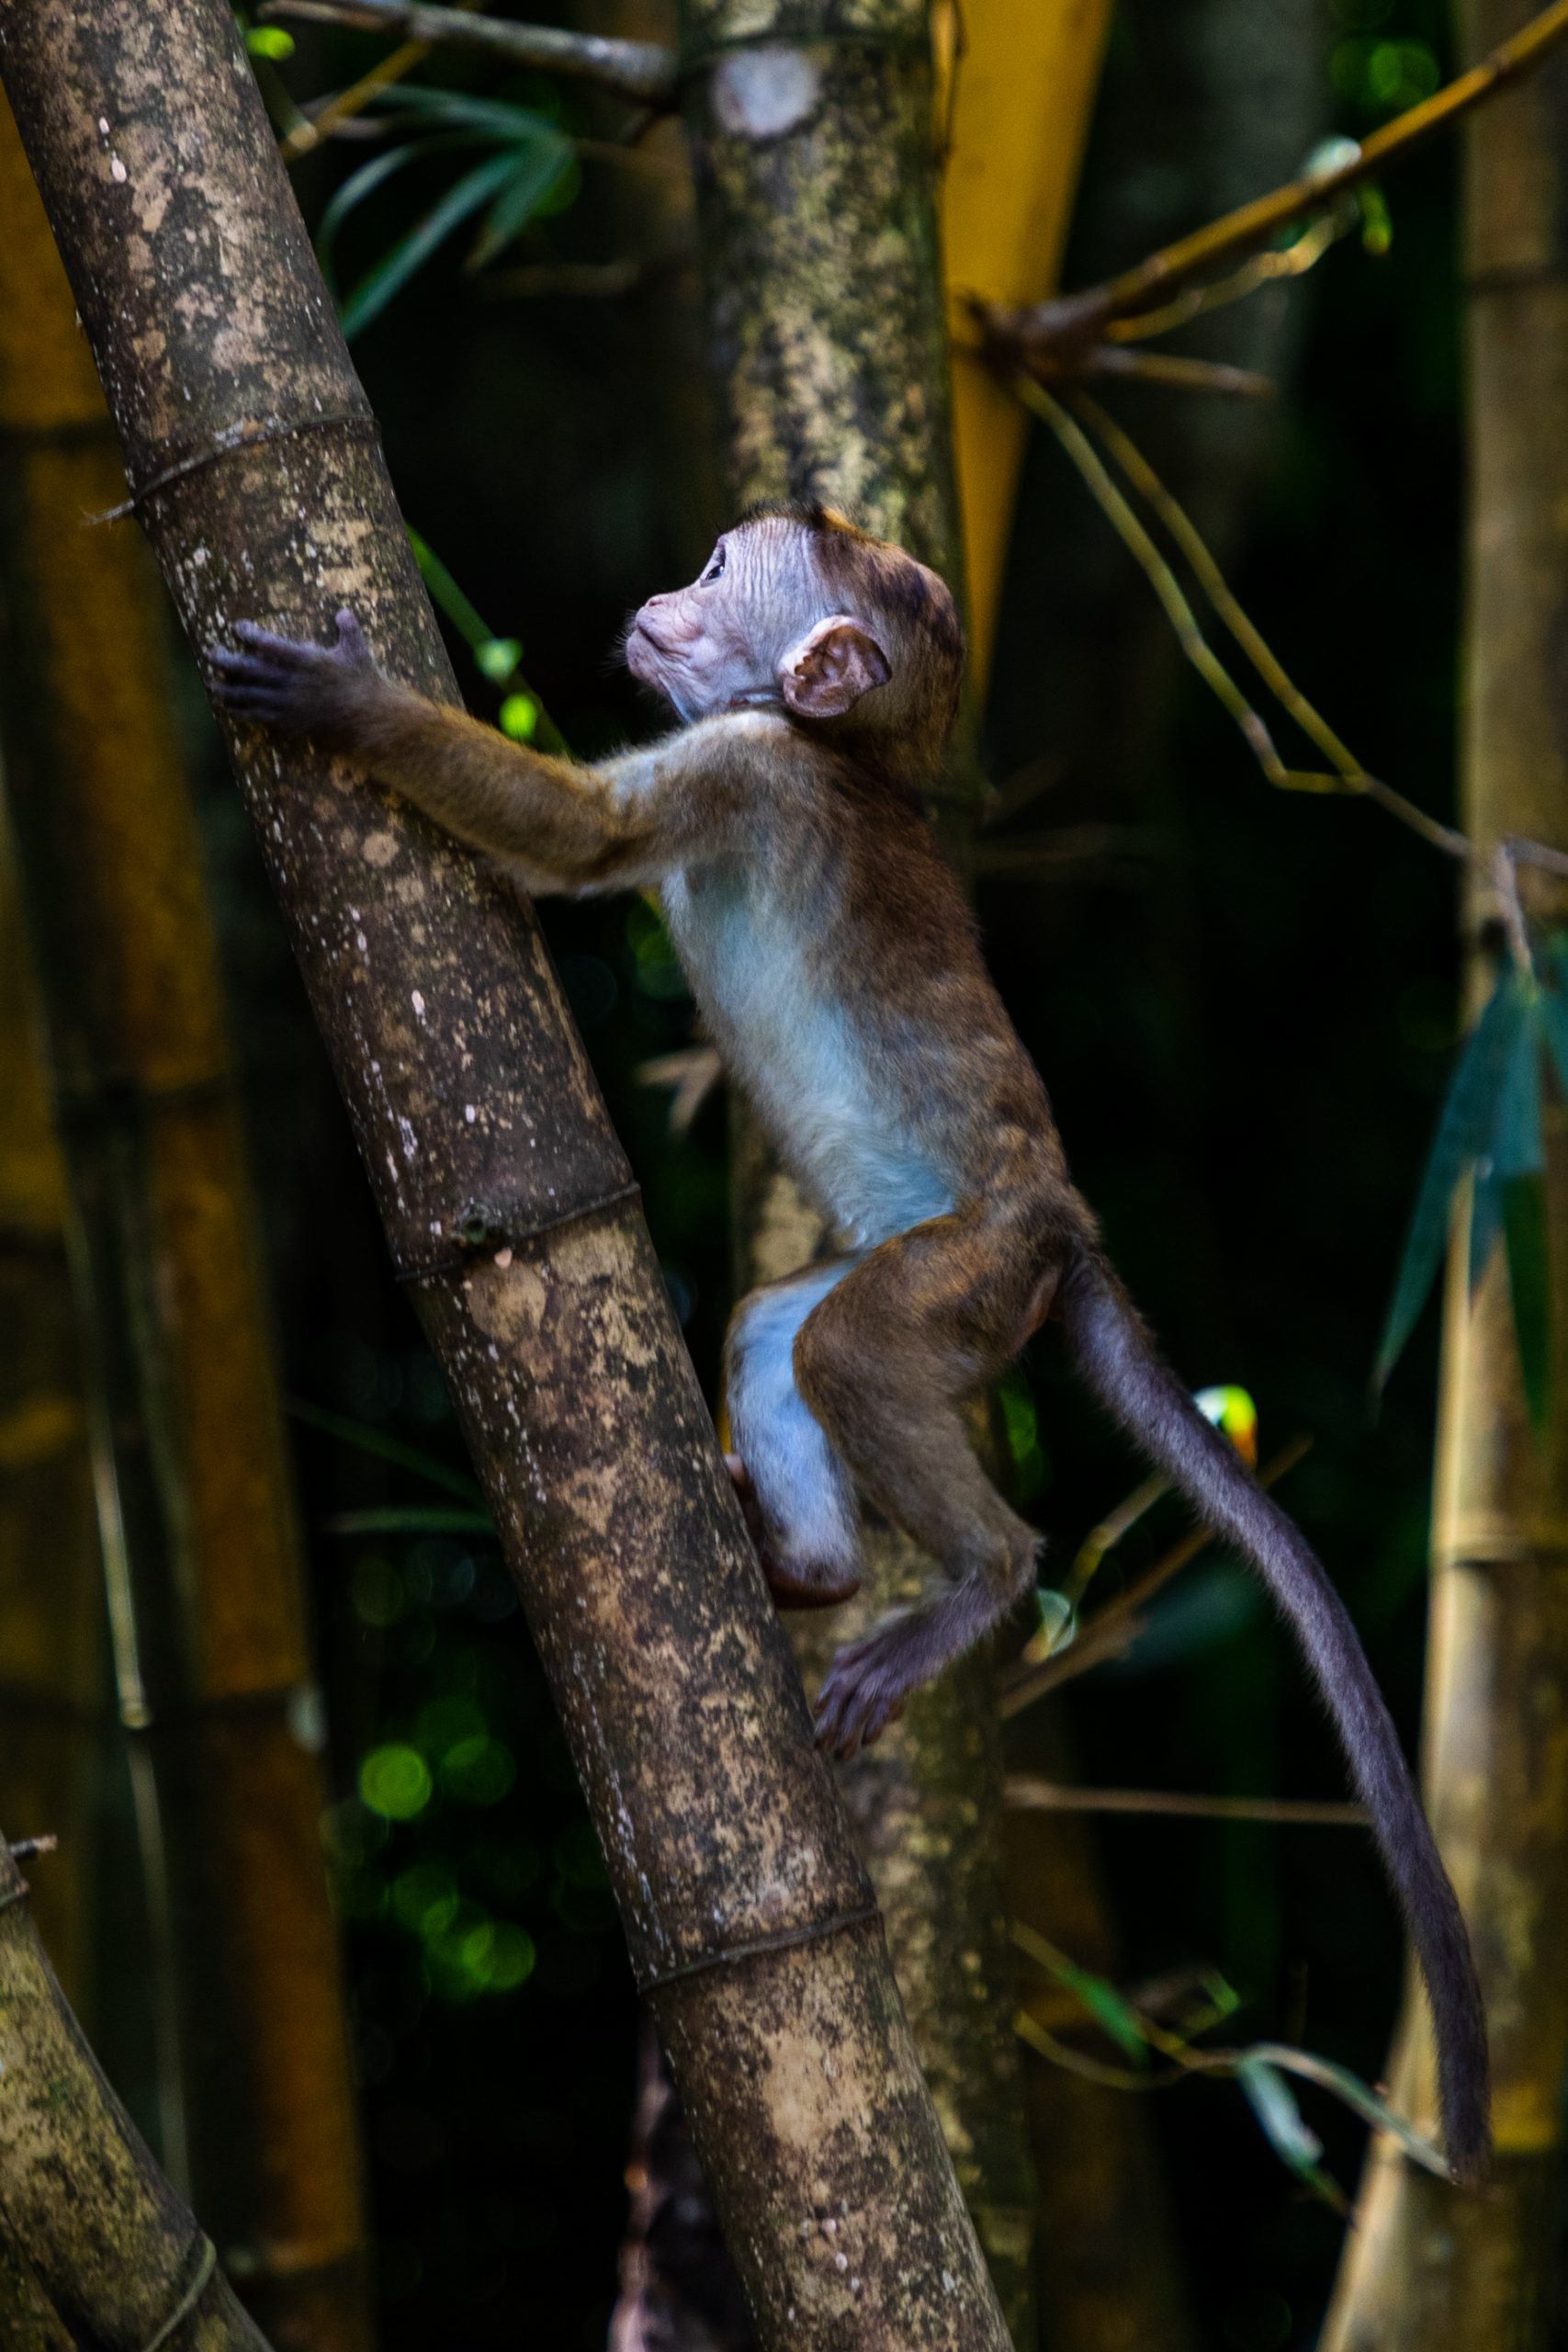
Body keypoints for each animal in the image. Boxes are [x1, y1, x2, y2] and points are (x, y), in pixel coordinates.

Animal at [209, 502, 1489, 2180]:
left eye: (711, 577)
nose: (651, 600)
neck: (836, 752)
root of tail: (1062, 1226)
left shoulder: (753, 768)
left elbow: (585, 842)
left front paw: (349, 707)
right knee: (776, 1326)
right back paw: (806, 1570)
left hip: (967, 1277)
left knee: (855, 1358)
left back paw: (980, 1578)